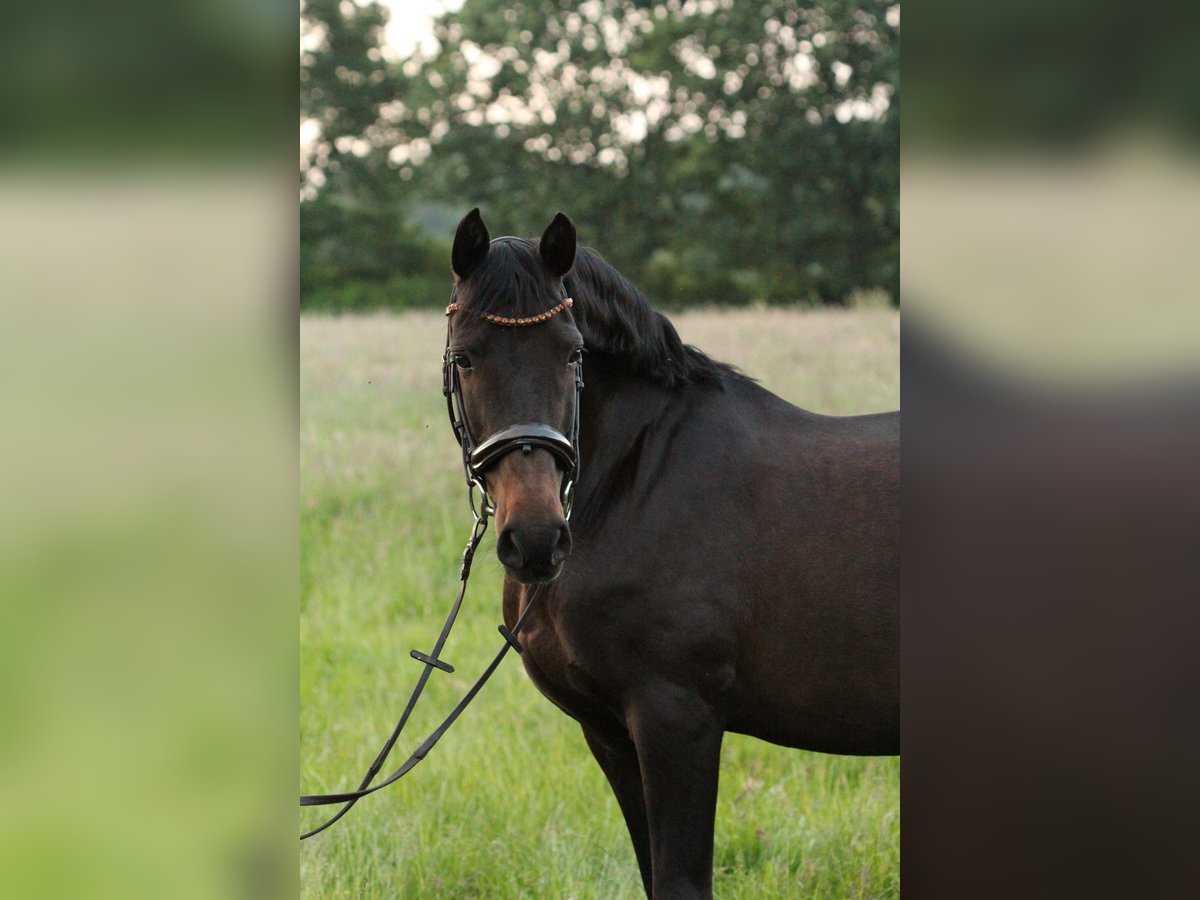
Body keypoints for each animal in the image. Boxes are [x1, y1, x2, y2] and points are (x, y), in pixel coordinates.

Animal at [446, 210, 897, 900]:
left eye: (572, 353)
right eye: (465, 356)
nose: (537, 540)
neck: (634, 482)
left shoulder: (676, 718)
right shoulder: (608, 729)